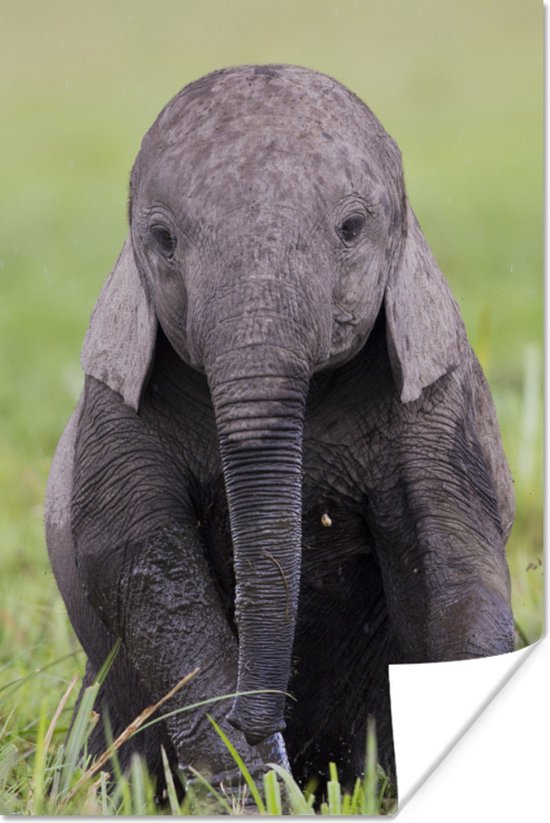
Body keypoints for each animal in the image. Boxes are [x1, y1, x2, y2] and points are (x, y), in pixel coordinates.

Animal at [45, 64, 515, 800]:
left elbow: (457, 557)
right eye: (161, 239)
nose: (259, 719)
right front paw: (251, 790)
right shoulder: (114, 408)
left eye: (351, 227)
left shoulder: (443, 401)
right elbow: (142, 563)